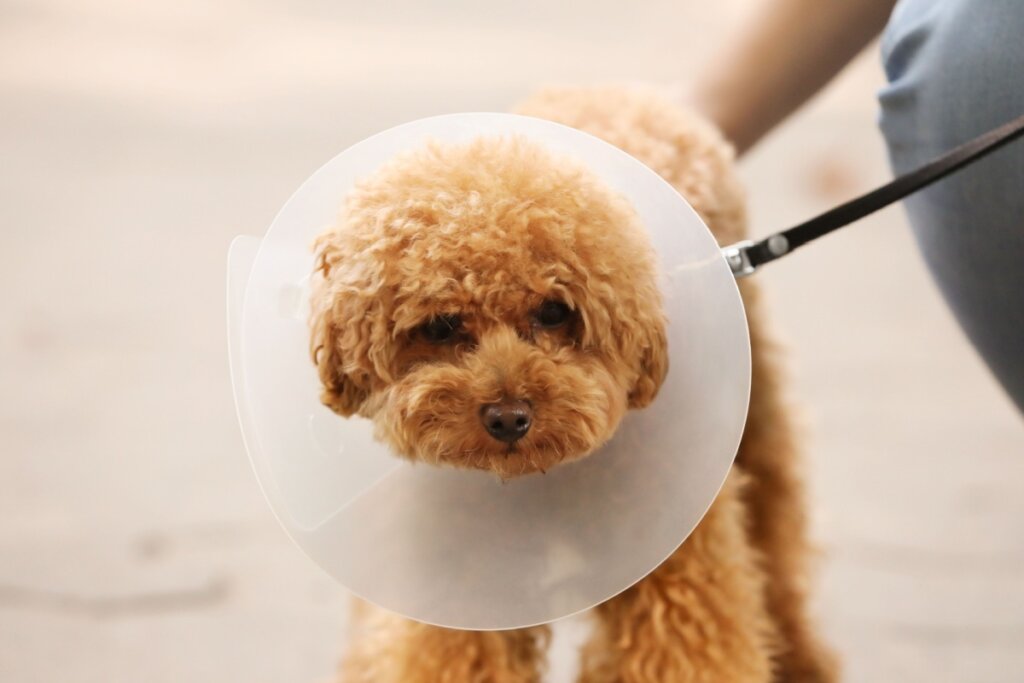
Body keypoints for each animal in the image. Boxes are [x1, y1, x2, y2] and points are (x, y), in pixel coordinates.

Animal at [305, 87, 831, 683]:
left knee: (776, 533)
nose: (509, 417)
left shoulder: (676, 561)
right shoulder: (460, 587)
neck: (540, 482)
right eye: (440, 325)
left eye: (554, 312)